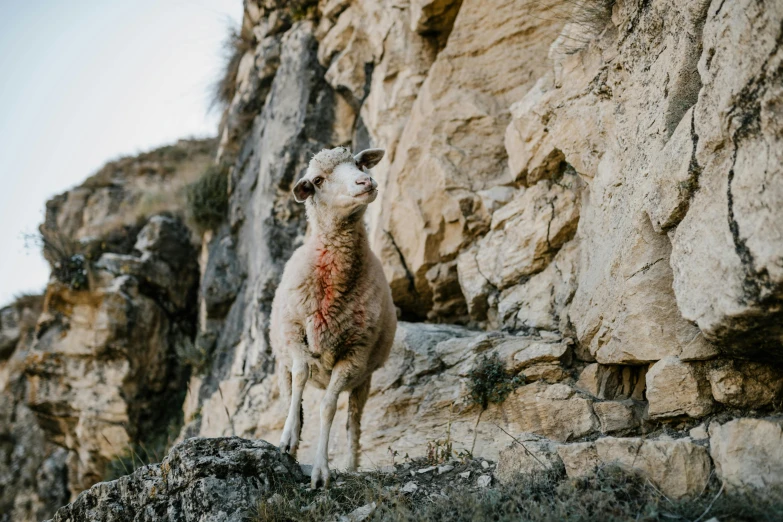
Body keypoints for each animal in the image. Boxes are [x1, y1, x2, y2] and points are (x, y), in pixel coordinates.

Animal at [272, 145, 398, 488]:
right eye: (317, 180)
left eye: (357, 163)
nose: (366, 182)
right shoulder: (294, 333)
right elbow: (301, 375)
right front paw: (287, 438)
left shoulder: (354, 355)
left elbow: (328, 408)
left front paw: (321, 471)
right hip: (280, 362)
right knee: (292, 394)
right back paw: (292, 438)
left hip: (364, 379)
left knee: (353, 420)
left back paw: (351, 464)